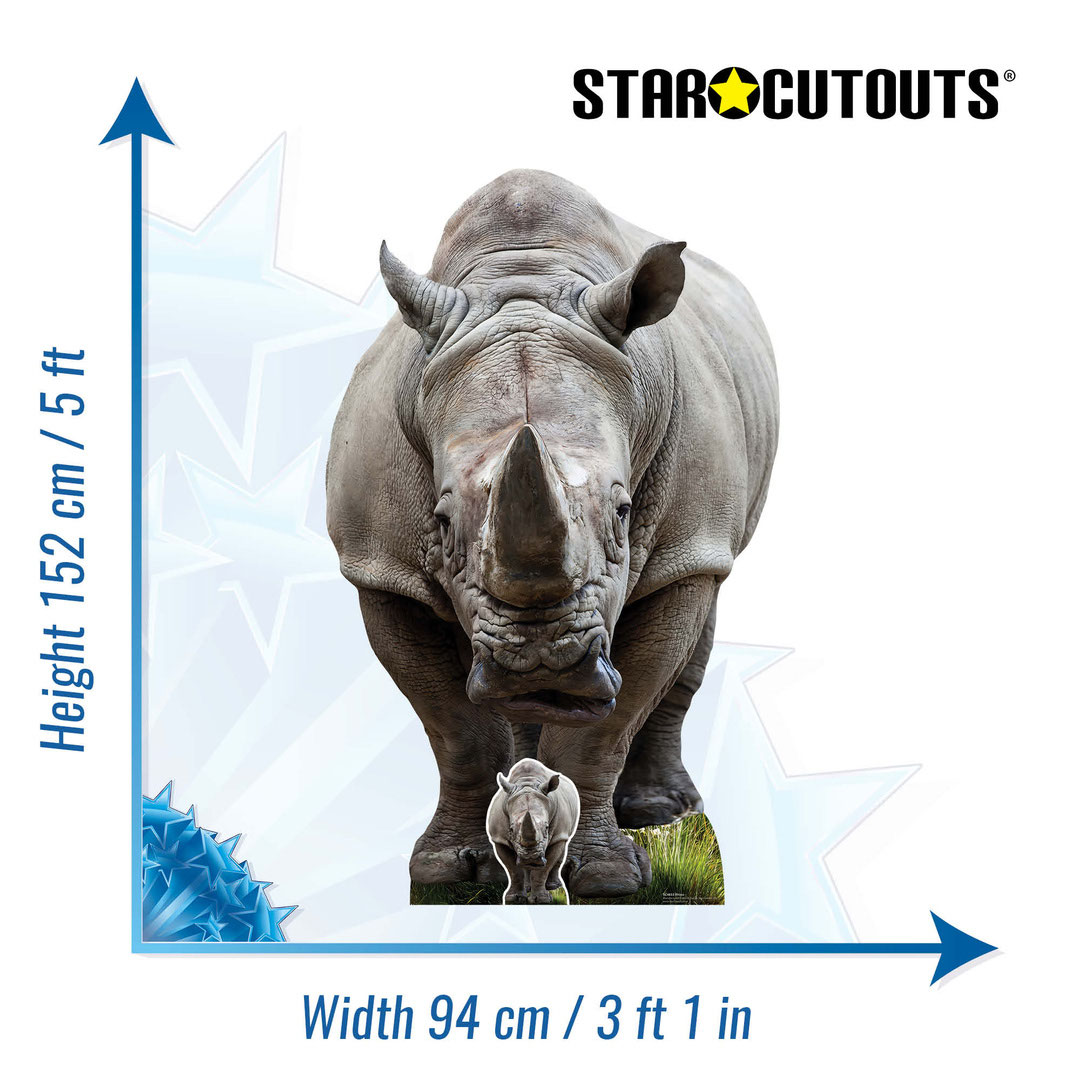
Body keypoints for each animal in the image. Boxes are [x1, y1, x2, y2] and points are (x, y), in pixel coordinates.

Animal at [486, 758, 580, 904]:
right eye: (511, 829)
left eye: (547, 828)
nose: (531, 858)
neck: (527, 782)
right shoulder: (499, 839)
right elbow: (513, 869)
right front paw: (514, 898)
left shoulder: (559, 834)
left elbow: (543, 869)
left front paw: (541, 900)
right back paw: (527, 887)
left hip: (564, 832)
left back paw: (553, 886)